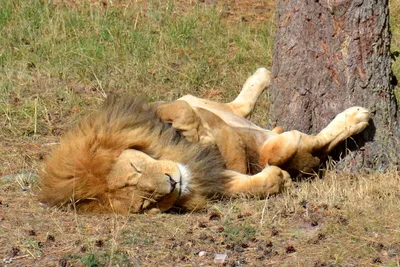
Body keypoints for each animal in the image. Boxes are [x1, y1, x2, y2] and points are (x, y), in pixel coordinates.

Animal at [39, 69, 370, 216]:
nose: (172, 183)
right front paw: (277, 180)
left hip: (202, 101)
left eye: (135, 169)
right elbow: (258, 174)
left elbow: (177, 110)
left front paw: (198, 135)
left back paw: (263, 77)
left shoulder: (148, 112)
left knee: (230, 107)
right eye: (145, 203)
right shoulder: (213, 175)